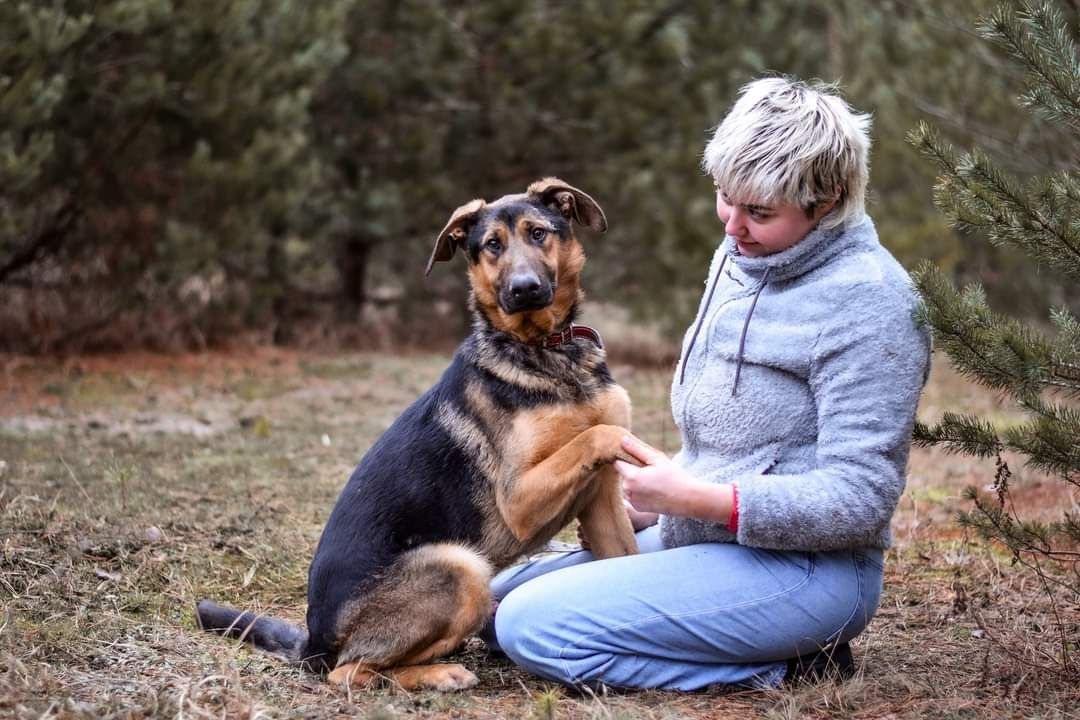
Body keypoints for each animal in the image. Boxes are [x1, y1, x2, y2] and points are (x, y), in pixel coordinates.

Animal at [195, 175, 635, 690]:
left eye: (539, 233)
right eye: (491, 245)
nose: (524, 289)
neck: (546, 350)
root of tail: (315, 640)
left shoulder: (602, 497)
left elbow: (625, 553)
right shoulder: (519, 499)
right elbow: (596, 434)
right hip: (461, 567)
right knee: (350, 672)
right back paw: (439, 674)